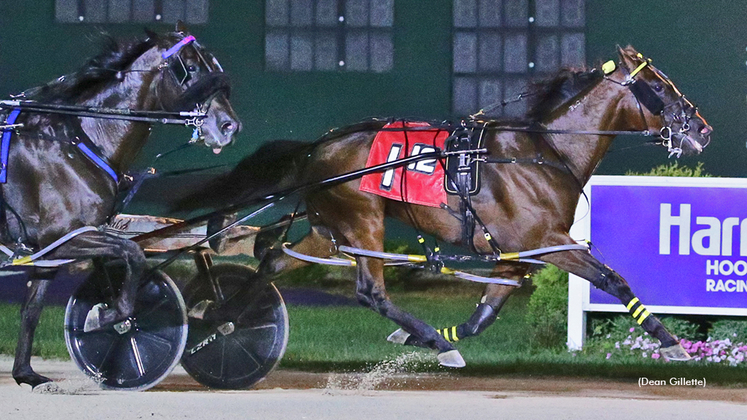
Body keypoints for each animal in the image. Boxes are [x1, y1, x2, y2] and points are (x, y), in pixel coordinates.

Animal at [3, 24, 243, 388]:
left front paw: (26, 374)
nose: (229, 126)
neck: (77, 139)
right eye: (191, 67)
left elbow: (32, 310)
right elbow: (133, 253)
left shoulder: (53, 248)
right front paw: (107, 315)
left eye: (214, 65)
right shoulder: (63, 238)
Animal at [183, 46, 712, 368]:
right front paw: (674, 345)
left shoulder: (515, 255)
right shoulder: (546, 243)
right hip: (363, 221)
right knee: (370, 291)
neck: (545, 152)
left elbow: (485, 315)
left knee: (275, 260)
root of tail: (318, 147)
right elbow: (613, 279)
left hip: (330, 230)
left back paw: (219, 316)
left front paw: (422, 339)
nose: (701, 128)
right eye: (659, 86)